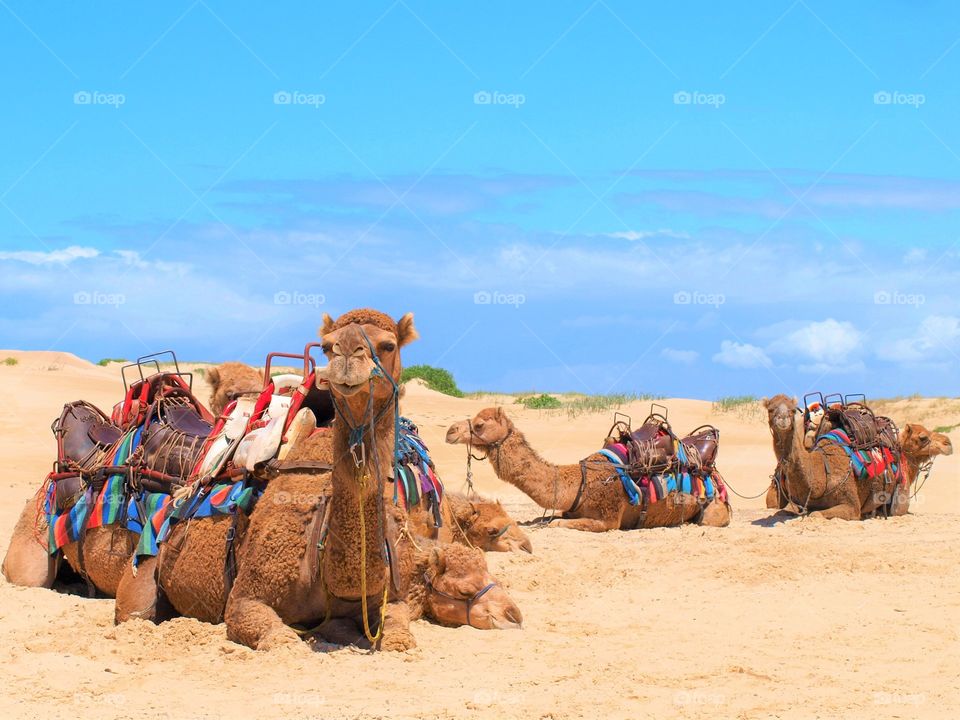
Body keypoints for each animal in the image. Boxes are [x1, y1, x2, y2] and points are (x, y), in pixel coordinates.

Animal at [445, 407, 731, 532]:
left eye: (480, 424)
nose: (450, 431)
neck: (578, 481)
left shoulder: (608, 519)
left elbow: (556, 524)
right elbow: (545, 519)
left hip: (714, 511)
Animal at [763, 395, 954, 519]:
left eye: (792, 410)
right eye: (923, 437)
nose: (948, 443)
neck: (822, 471)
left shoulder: (852, 506)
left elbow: (815, 515)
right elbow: (794, 512)